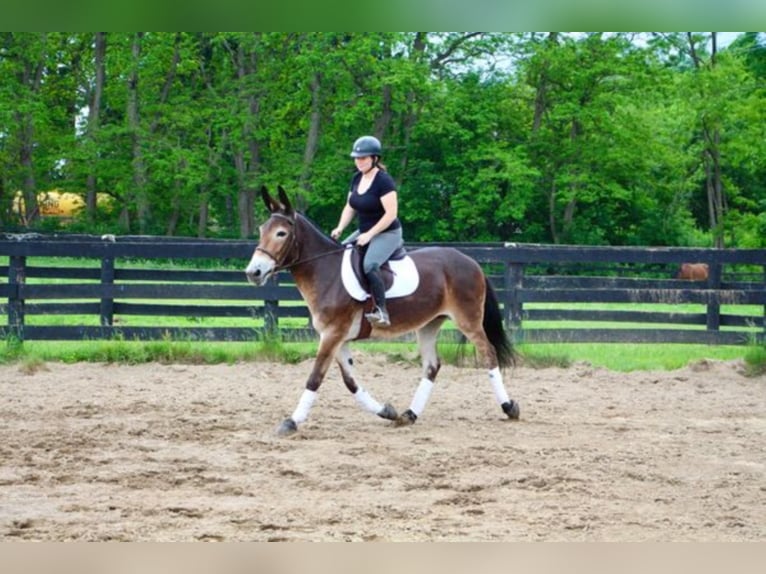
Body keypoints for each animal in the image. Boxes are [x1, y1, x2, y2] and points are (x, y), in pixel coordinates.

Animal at [246, 188, 520, 436]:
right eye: (261, 230)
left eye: (281, 233)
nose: (253, 272)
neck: (327, 272)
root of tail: (471, 261)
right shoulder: (337, 338)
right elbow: (351, 382)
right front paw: (387, 411)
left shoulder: (332, 335)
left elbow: (315, 378)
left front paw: (291, 422)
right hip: (429, 325)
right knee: (432, 365)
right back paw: (409, 415)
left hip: (468, 320)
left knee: (488, 353)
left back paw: (509, 407)